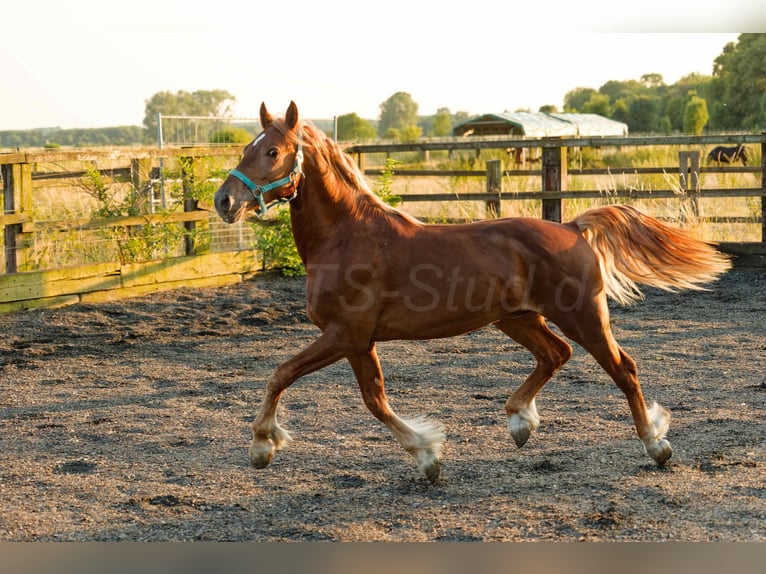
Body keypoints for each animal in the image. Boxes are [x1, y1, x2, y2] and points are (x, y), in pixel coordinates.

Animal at [214, 101, 731, 482]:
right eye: (248, 147)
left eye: (273, 152)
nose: (224, 201)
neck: (348, 236)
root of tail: (573, 228)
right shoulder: (358, 341)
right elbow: (367, 397)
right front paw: (428, 455)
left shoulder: (347, 335)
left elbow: (292, 378)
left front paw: (262, 446)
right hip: (516, 318)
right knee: (556, 354)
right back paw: (521, 422)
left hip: (582, 315)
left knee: (623, 368)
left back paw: (656, 445)